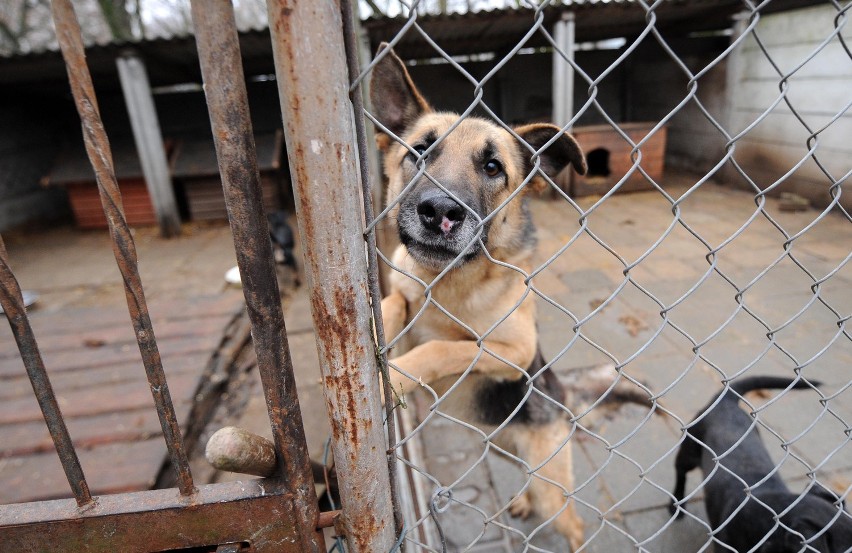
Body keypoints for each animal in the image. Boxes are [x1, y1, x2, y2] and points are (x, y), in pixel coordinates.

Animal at [370, 44, 588, 548]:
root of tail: (565, 403)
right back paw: (522, 501)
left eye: (492, 167)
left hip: (553, 488)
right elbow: (394, 305)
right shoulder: (406, 293)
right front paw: (375, 331)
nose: (439, 212)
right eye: (420, 151)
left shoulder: (513, 350)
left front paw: (398, 378)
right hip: (511, 455)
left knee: (574, 523)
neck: (445, 283)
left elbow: (446, 347)